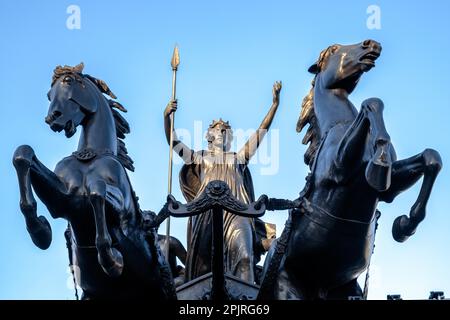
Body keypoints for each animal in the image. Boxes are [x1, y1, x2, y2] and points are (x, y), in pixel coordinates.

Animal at [13, 63, 175, 300]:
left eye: (69, 81)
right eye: (49, 94)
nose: (52, 118)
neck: (90, 155)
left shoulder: (122, 211)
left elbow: (97, 191)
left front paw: (112, 261)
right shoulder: (64, 201)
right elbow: (23, 154)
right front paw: (40, 231)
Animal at [260, 40, 442, 300]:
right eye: (334, 50)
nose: (371, 44)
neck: (339, 124)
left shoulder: (389, 189)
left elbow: (431, 158)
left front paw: (404, 225)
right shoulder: (339, 169)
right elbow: (372, 103)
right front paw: (379, 162)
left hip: (346, 289)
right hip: (285, 285)